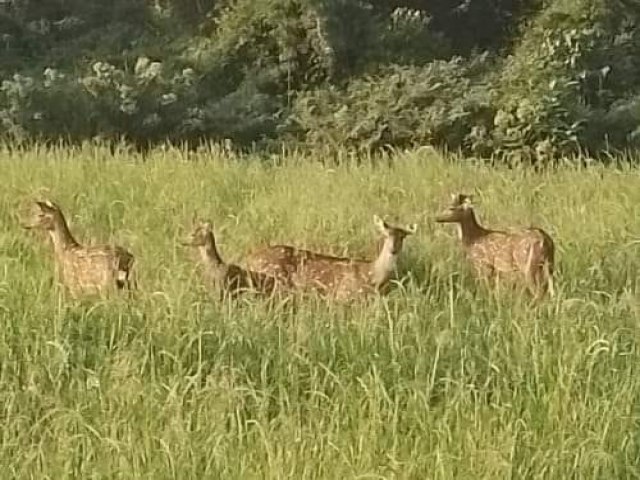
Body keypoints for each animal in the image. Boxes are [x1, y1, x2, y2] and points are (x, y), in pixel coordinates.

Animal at [242, 217, 418, 302]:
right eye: (386, 235)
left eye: (403, 236)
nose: (393, 249)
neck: (373, 277)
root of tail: (248, 259)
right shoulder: (344, 295)